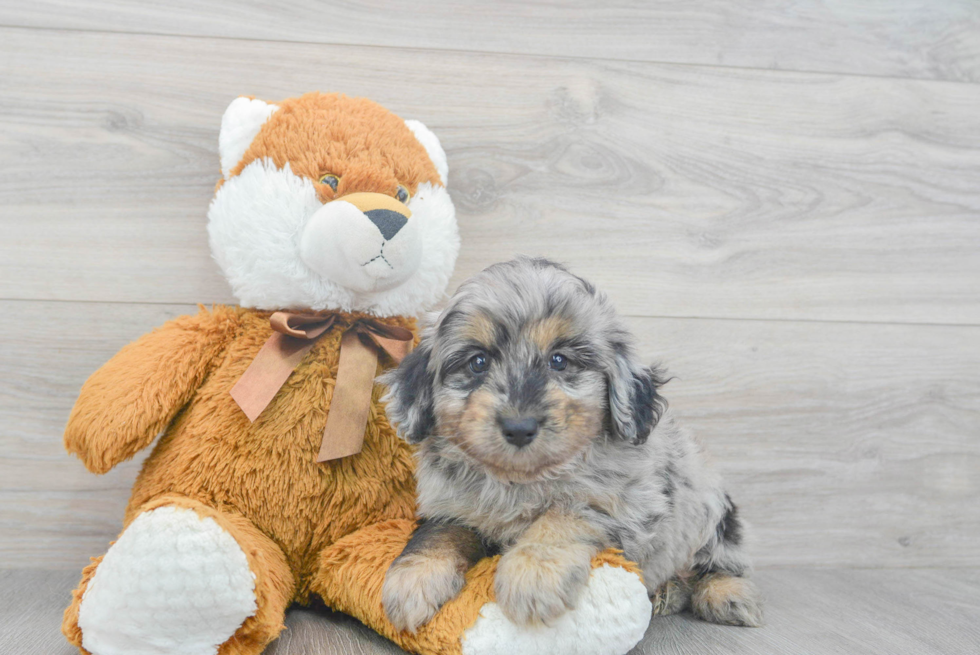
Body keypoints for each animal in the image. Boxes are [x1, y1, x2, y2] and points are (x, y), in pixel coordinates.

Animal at [378, 258, 760, 632]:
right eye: (478, 362)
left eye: (559, 360)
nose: (519, 427)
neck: (521, 480)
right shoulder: (450, 506)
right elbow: (439, 534)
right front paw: (414, 578)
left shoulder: (629, 508)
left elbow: (566, 513)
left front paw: (534, 572)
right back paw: (670, 592)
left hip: (711, 514)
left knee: (719, 563)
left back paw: (725, 594)